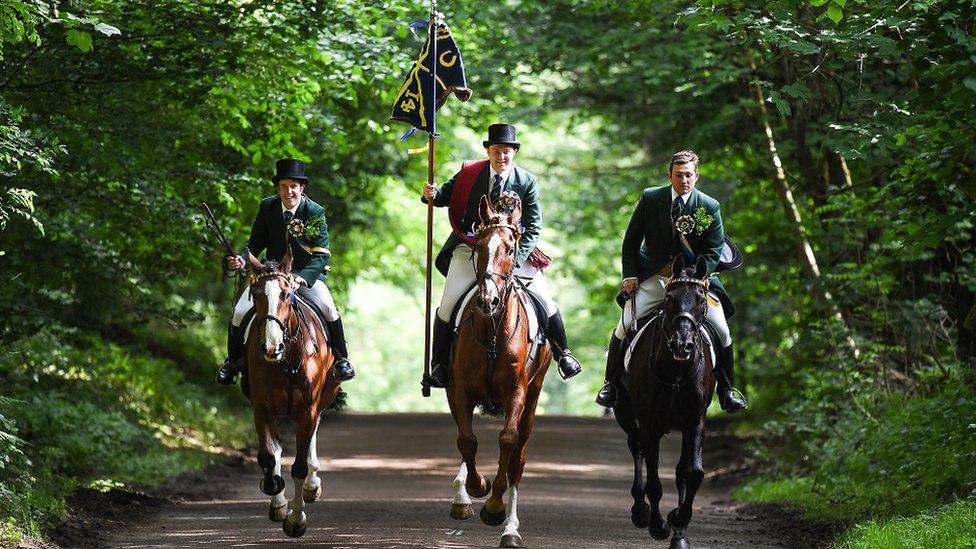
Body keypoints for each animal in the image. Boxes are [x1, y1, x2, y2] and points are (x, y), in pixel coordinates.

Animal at [243, 249, 344, 540]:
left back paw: (312, 484)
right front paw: (277, 500)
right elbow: (268, 455)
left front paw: (297, 520)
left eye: (286, 295)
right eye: (255, 293)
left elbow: (298, 465)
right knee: (277, 449)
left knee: (311, 438)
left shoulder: (307, 409)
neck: (287, 357)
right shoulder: (261, 408)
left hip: (320, 402)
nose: (271, 347)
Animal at [448, 195, 552, 544]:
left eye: (509, 247)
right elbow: (466, 440)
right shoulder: (461, 390)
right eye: (478, 246)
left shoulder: (517, 391)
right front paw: (476, 487)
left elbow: (507, 440)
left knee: (518, 457)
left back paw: (510, 528)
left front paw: (494, 506)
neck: (493, 329)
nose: (487, 301)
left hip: (532, 397)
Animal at [612, 256, 720, 548]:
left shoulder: (695, 421)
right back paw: (640, 511)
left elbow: (692, 473)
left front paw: (678, 523)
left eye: (701, 298)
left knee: (680, 469)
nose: (682, 345)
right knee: (636, 448)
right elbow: (654, 481)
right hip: (625, 414)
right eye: (670, 297)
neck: (676, 373)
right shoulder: (651, 424)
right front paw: (659, 525)